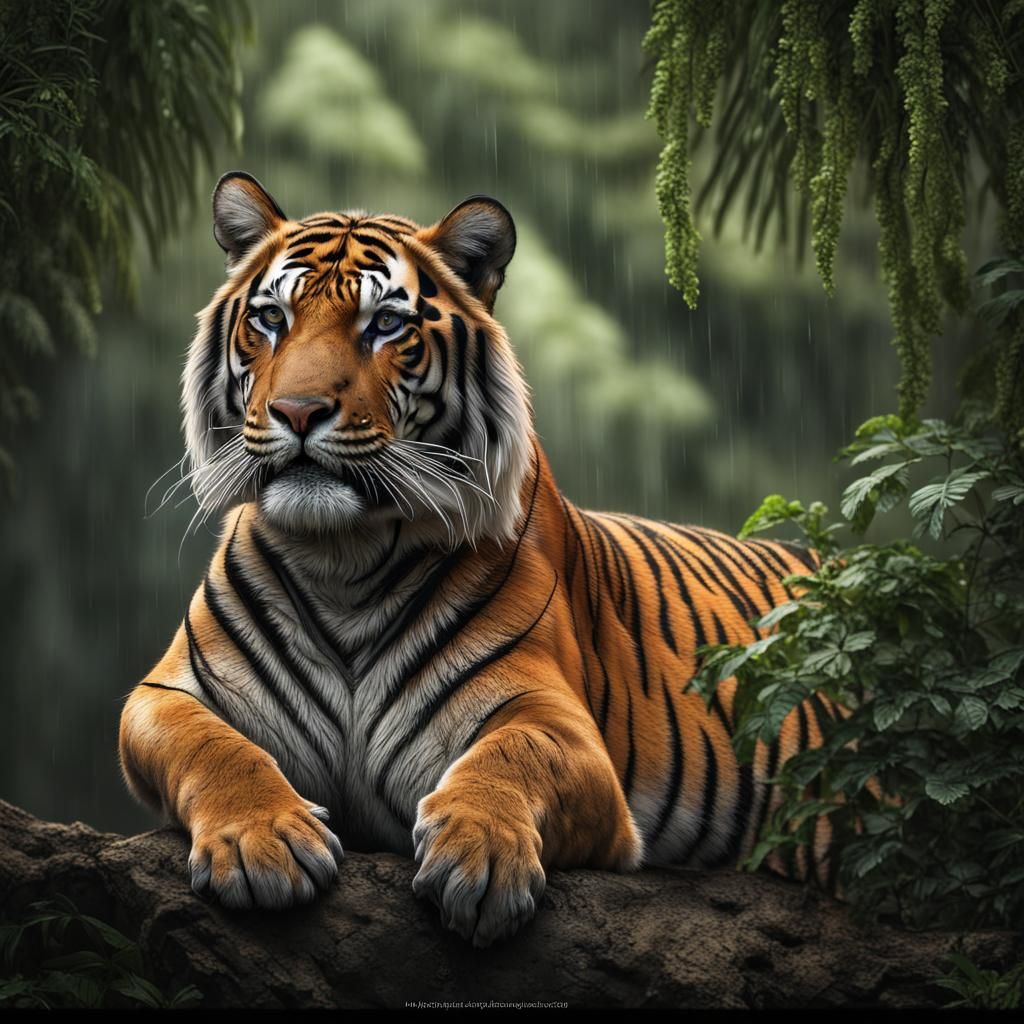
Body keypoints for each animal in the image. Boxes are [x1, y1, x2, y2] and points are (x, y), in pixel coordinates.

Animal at [119, 171, 838, 949]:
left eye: (385, 326)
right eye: (273, 318)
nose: (299, 411)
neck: (343, 556)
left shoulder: (559, 722)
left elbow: (512, 755)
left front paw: (480, 856)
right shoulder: (165, 695)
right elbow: (217, 749)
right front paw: (259, 840)